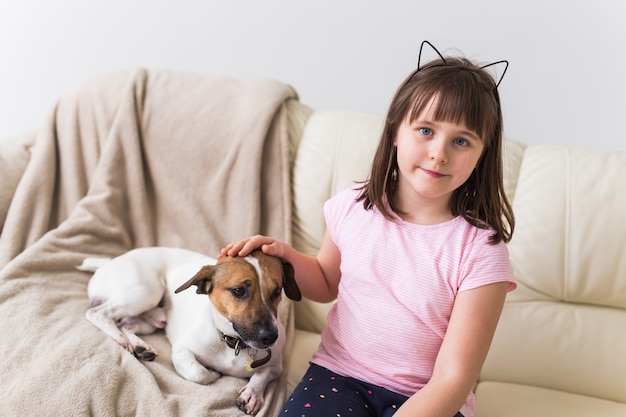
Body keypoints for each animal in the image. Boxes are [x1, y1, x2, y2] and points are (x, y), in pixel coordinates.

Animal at [80, 247, 300, 412]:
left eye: (277, 291)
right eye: (238, 291)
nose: (271, 337)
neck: (232, 342)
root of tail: (108, 262)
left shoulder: (275, 367)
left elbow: (261, 376)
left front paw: (252, 393)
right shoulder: (181, 351)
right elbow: (198, 373)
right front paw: (213, 374)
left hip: (145, 316)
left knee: (127, 324)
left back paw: (142, 344)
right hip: (146, 291)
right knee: (97, 314)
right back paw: (122, 339)